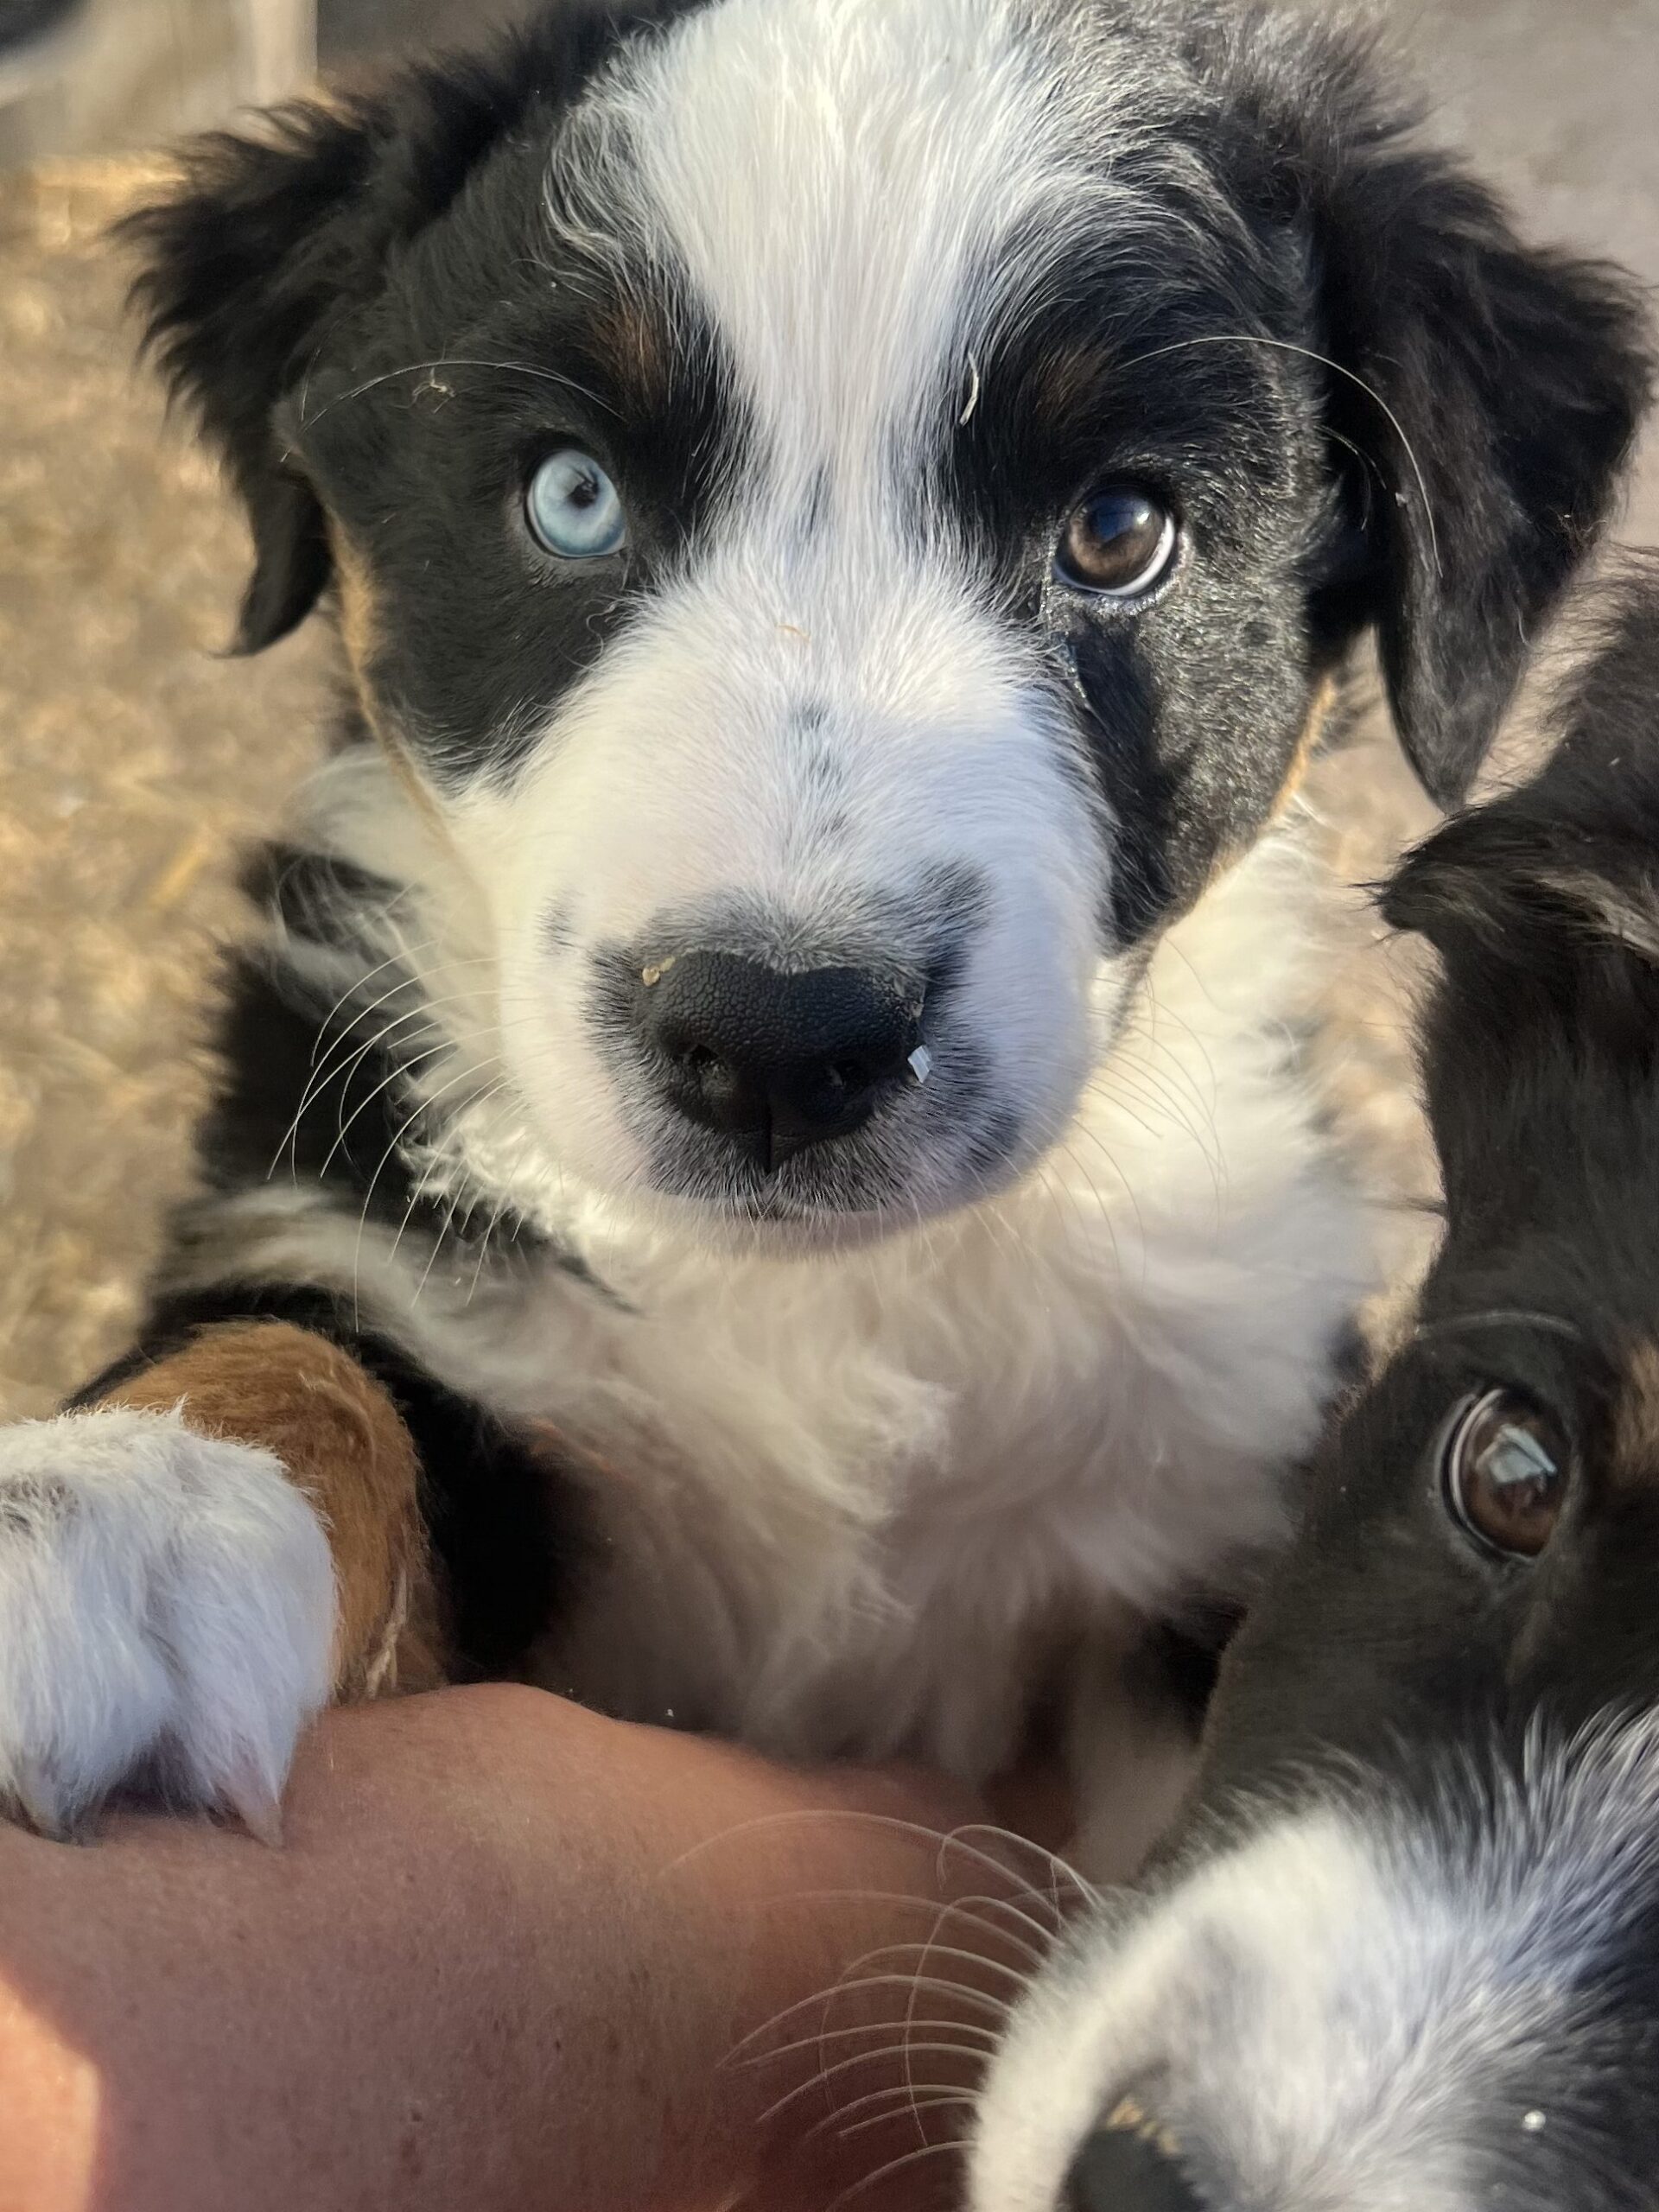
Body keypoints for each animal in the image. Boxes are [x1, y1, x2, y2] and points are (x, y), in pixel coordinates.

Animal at [0, 0, 1654, 1831]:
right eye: (571, 497)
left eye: (1121, 533)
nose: (782, 1041)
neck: (834, 1305)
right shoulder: (386, 1260)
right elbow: (302, 1359)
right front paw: (116, 1503)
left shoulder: (1227, 1488)